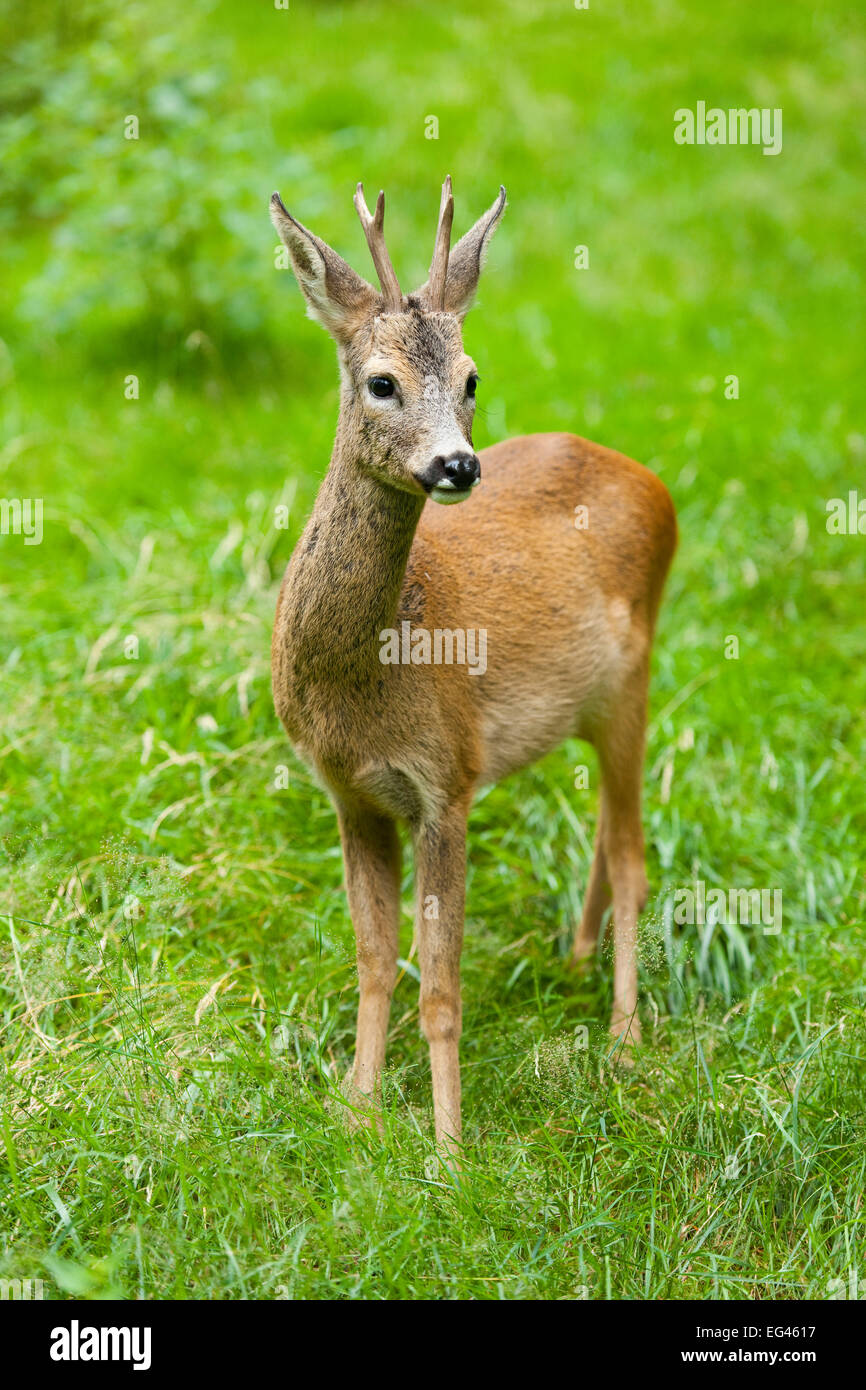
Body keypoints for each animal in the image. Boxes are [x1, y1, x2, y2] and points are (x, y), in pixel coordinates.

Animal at [271, 184, 678, 1162]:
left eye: (470, 379)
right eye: (381, 381)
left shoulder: (446, 778)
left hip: (636, 681)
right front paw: (357, 1108)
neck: (365, 679)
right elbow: (375, 957)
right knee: (608, 833)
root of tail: (651, 481)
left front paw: (449, 1148)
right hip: (591, 709)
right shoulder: (350, 792)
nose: (457, 464)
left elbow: (441, 984)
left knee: (633, 852)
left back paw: (623, 1039)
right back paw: (576, 960)